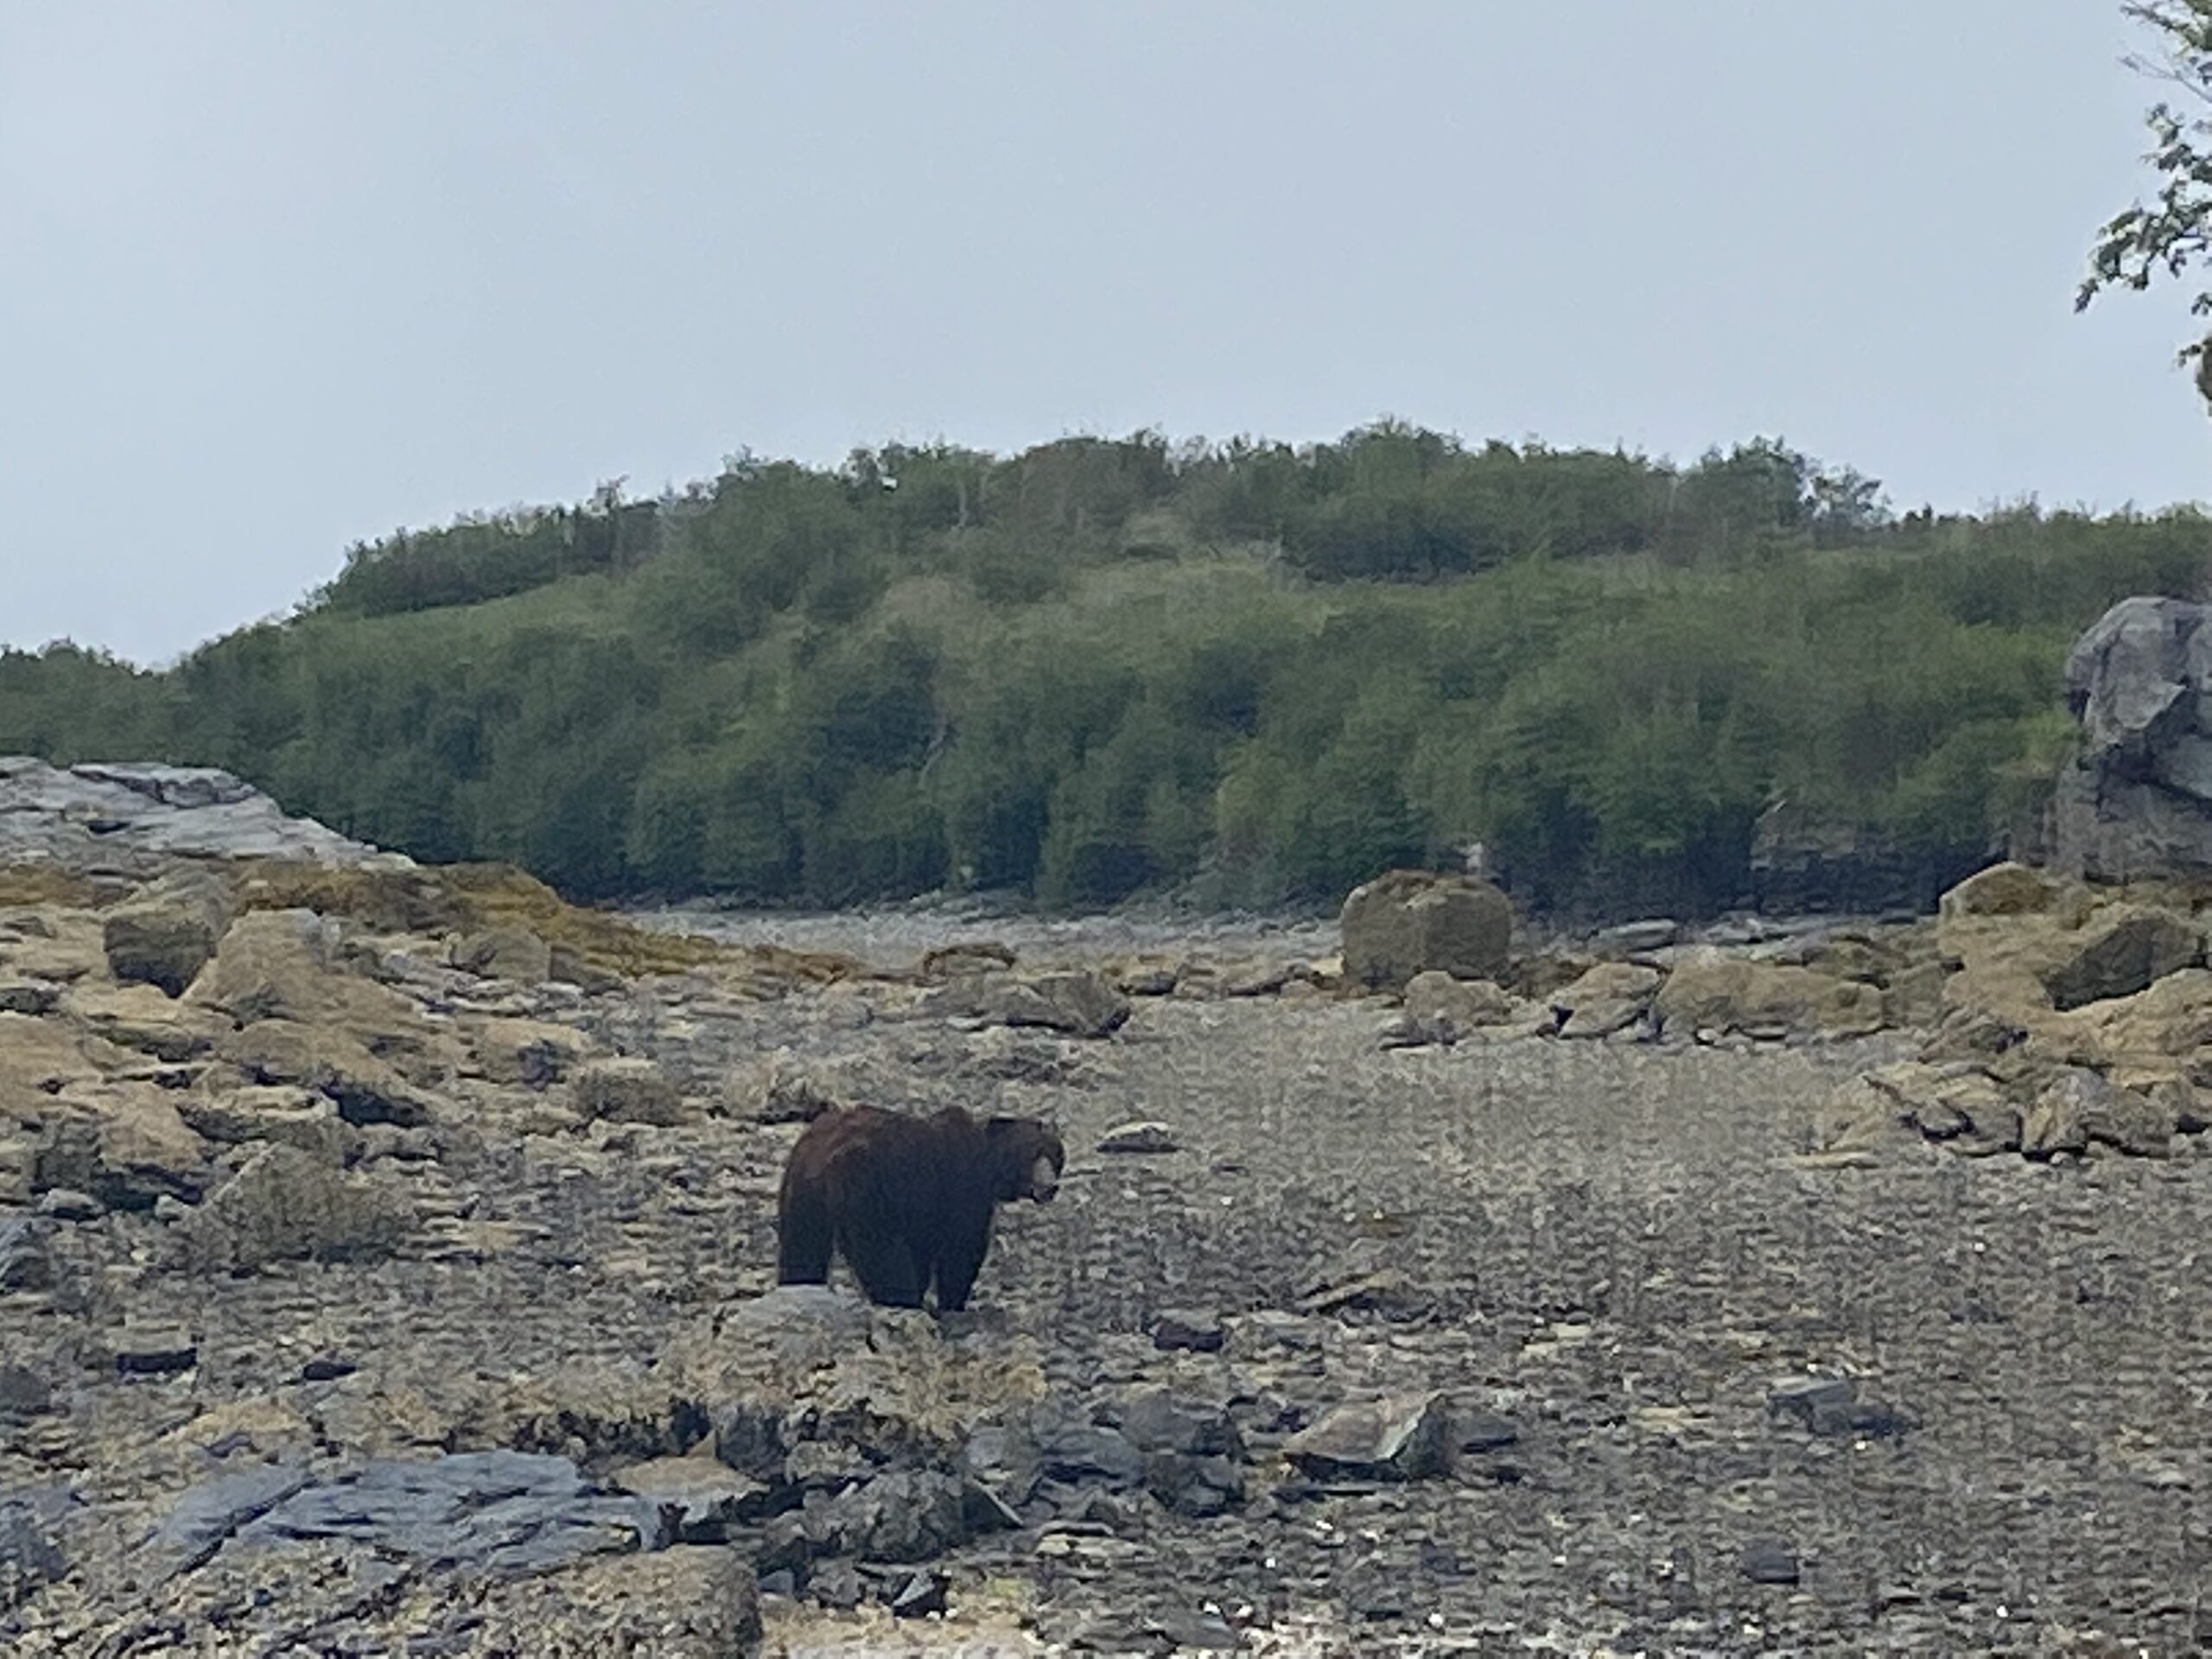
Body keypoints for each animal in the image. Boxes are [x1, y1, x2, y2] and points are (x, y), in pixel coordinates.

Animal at [779, 1106, 1061, 1309]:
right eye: (1034, 1153)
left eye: (1056, 1156)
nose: (1050, 1186)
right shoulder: (960, 1188)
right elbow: (962, 1246)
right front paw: (952, 1302)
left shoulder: (923, 1208)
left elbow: (924, 1249)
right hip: (866, 1183)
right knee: (879, 1246)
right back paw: (901, 1298)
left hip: (802, 1190)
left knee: (802, 1243)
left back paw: (799, 1283)